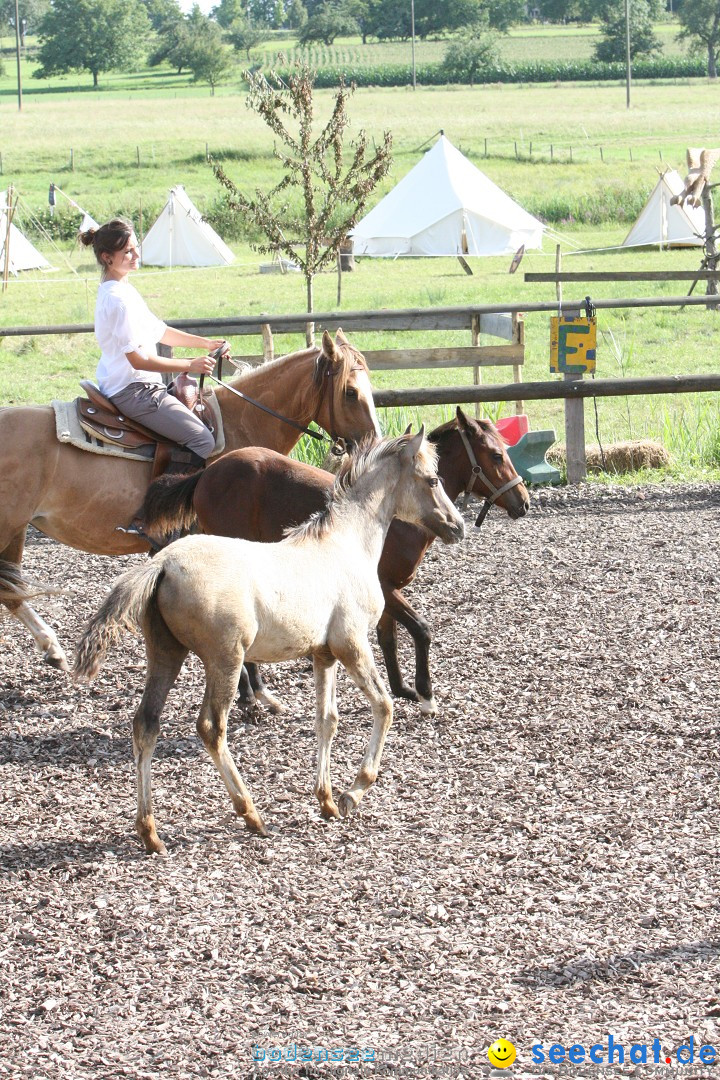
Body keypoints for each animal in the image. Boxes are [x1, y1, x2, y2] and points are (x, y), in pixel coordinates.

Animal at [0, 328, 382, 669]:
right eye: (350, 392)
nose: (374, 443)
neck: (238, 423)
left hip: (16, 528)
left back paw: (52, 649)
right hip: (9, 525)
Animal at [74, 429, 468, 851]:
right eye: (433, 480)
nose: (458, 526)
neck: (345, 545)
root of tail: (162, 564)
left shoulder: (324, 654)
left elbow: (326, 719)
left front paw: (327, 800)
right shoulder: (351, 644)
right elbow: (384, 706)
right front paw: (353, 792)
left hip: (166, 653)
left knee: (145, 724)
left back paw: (150, 833)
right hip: (224, 659)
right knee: (211, 727)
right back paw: (251, 814)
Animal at [138, 408, 533, 712]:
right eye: (496, 456)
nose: (524, 502)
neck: (391, 516)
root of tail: (207, 472)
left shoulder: (384, 589)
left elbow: (389, 637)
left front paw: (401, 688)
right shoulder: (386, 587)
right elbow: (421, 629)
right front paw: (425, 694)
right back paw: (255, 695)